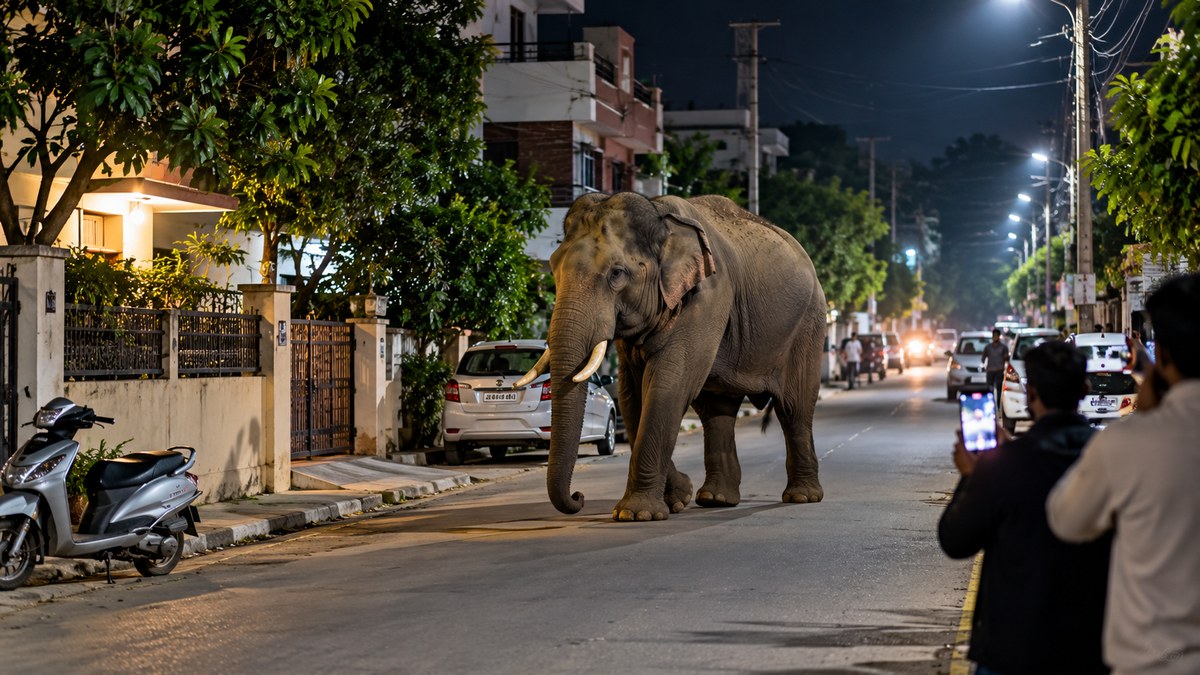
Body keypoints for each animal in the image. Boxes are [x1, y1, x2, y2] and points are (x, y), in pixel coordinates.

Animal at [515, 192, 828, 521]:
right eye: (552, 268)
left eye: (617, 273)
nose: (579, 496)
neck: (659, 215)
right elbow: (631, 394)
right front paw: (678, 497)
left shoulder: (707, 297)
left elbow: (669, 383)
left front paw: (636, 514)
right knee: (716, 411)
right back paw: (716, 499)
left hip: (808, 325)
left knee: (793, 407)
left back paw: (802, 496)